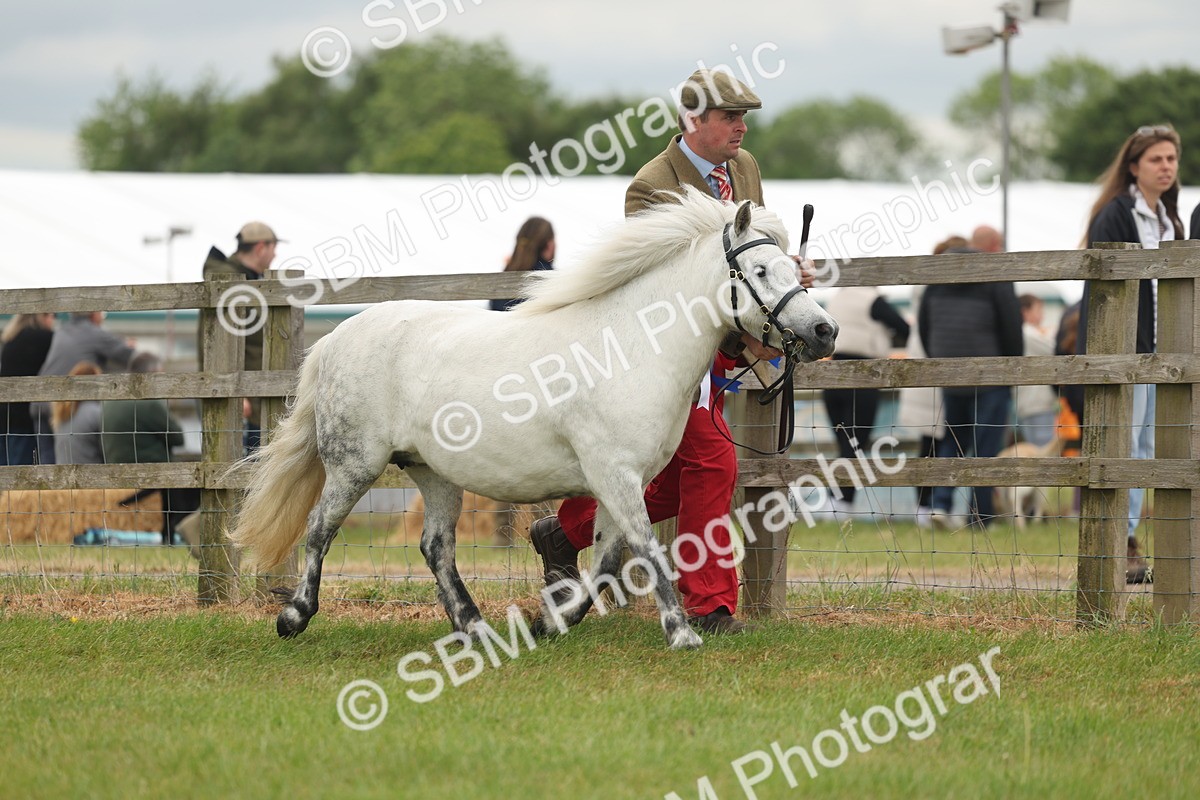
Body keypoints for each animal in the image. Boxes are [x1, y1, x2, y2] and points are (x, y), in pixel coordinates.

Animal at [229, 188, 838, 650]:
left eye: (792, 267)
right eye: (760, 270)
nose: (824, 331)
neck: (630, 348)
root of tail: (336, 338)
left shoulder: (623, 480)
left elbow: (609, 559)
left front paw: (553, 621)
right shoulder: (615, 475)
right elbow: (644, 549)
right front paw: (682, 634)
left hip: (434, 473)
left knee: (436, 548)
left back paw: (476, 629)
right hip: (354, 464)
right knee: (319, 529)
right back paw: (293, 617)